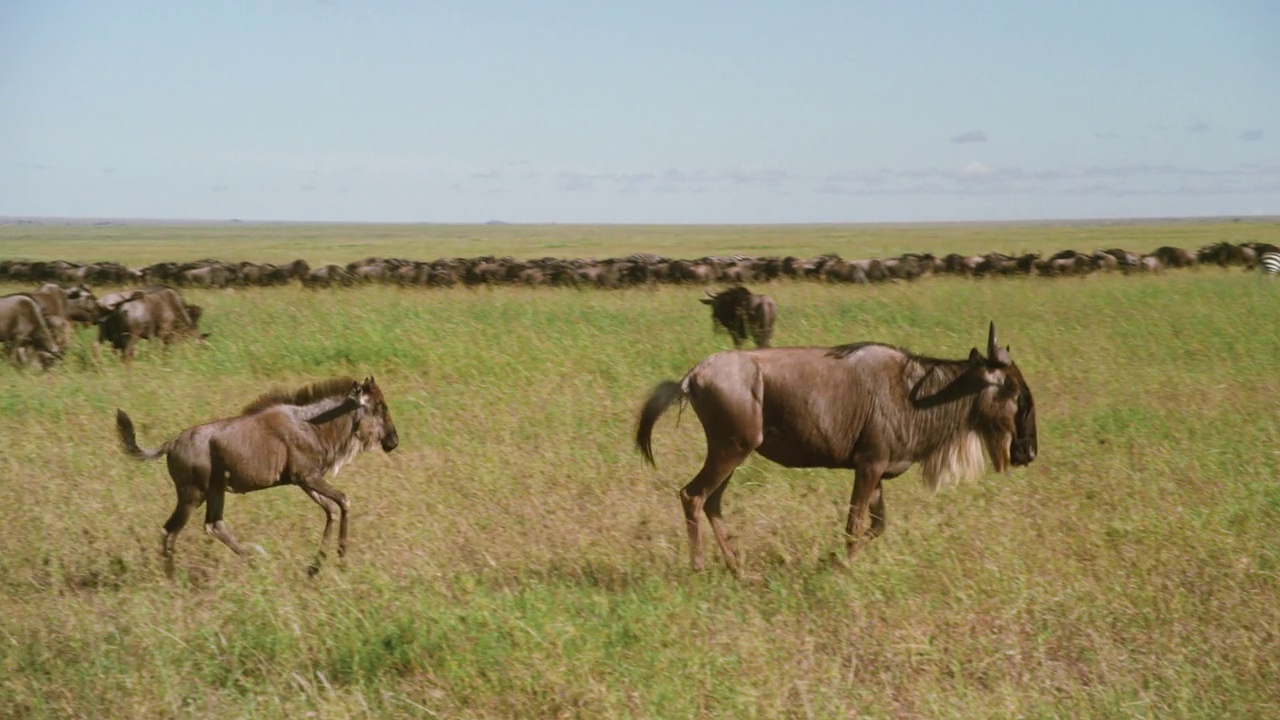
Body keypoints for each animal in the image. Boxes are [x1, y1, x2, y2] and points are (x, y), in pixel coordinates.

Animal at [120, 376, 401, 571]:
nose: (393, 441)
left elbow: (331, 509)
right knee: (170, 531)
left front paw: (315, 567)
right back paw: (173, 580)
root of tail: (170, 444)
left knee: (214, 525)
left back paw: (256, 560)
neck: (314, 425)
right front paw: (341, 559)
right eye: (379, 406)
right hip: (191, 494)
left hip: (215, 490)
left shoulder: (304, 480)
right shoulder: (308, 477)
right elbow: (344, 500)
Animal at [634, 322, 1034, 573]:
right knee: (693, 496)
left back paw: (735, 567)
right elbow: (855, 524)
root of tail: (692, 376)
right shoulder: (868, 466)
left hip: (731, 454)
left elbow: (877, 525)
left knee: (712, 501)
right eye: (1014, 391)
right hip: (729, 450)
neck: (914, 393)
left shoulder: (877, 470)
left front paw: (830, 560)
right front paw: (844, 566)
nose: (1028, 452)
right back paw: (699, 567)